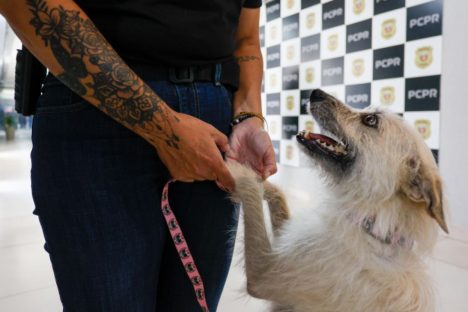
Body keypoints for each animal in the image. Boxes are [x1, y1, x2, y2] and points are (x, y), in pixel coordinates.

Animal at [229, 88, 448, 312]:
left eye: (370, 120)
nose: (315, 92)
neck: (372, 226)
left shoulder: (263, 273)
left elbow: (249, 185)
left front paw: (232, 166)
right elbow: (277, 193)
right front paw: (262, 180)